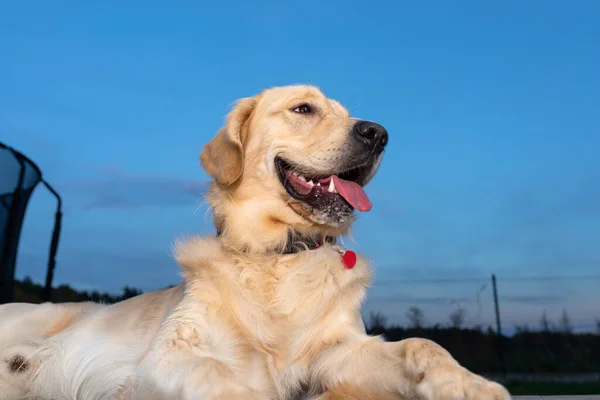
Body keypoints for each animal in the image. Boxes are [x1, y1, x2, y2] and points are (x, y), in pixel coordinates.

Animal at [0, 85, 510, 400]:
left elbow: (422, 344)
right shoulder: (172, 355)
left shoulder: (338, 352)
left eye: (350, 116)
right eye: (304, 108)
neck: (280, 256)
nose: (378, 134)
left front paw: (471, 385)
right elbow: (218, 374)